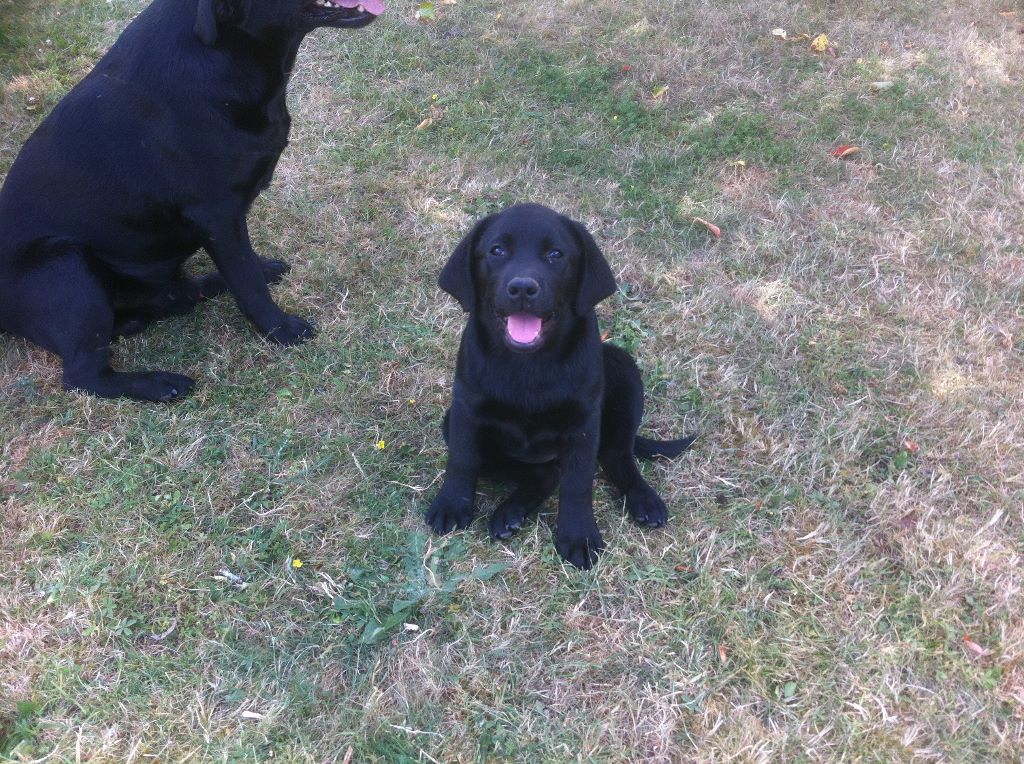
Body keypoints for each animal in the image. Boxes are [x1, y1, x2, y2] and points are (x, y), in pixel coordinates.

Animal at [0, 0, 382, 401]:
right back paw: (160, 383)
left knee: (178, 293)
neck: (228, 56)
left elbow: (244, 269)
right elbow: (247, 281)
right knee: (83, 375)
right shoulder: (217, 214)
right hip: (66, 265)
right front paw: (280, 329)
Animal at [423, 202, 696, 565]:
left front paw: (578, 535)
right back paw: (510, 514)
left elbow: (578, 483)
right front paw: (452, 505)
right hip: (452, 423)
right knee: (545, 474)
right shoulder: (466, 407)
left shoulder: (583, 424)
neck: (529, 362)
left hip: (623, 369)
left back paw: (644, 500)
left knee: (616, 455)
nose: (522, 288)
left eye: (555, 254)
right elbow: (463, 459)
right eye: (497, 251)